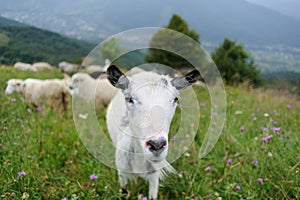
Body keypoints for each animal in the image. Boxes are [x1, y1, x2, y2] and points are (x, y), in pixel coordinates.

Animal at [105, 65, 199, 199]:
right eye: (129, 99)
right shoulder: (122, 172)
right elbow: (124, 191)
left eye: (175, 99)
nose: (157, 145)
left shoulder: (154, 174)